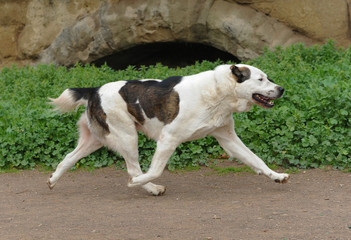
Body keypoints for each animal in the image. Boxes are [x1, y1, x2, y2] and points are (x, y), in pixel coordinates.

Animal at [48, 64, 292, 196]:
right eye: (260, 79)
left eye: (268, 78)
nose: (281, 89)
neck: (217, 92)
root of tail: (94, 90)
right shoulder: (168, 138)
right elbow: (155, 170)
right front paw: (143, 183)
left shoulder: (228, 139)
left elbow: (256, 160)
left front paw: (277, 176)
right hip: (128, 136)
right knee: (133, 169)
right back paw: (150, 187)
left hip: (95, 140)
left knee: (67, 158)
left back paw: (52, 180)